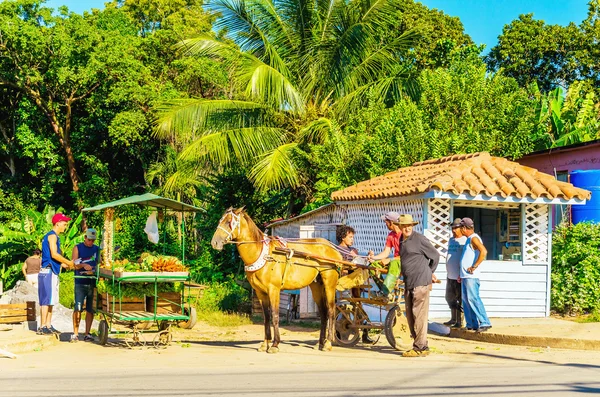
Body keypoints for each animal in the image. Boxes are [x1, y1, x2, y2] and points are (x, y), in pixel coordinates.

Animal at [211, 207, 342, 352]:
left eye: (229, 221)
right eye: (220, 220)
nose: (214, 242)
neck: (262, 254)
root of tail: (332, 248)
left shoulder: (274, 289)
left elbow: (274, 315)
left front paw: (275, 344)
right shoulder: (260, 292)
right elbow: (266, 317)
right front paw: (265, 343)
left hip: (329, 284)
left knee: (331, 310)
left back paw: (328, 343)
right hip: (316, 286)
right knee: (323, 313)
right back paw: (320, 343)